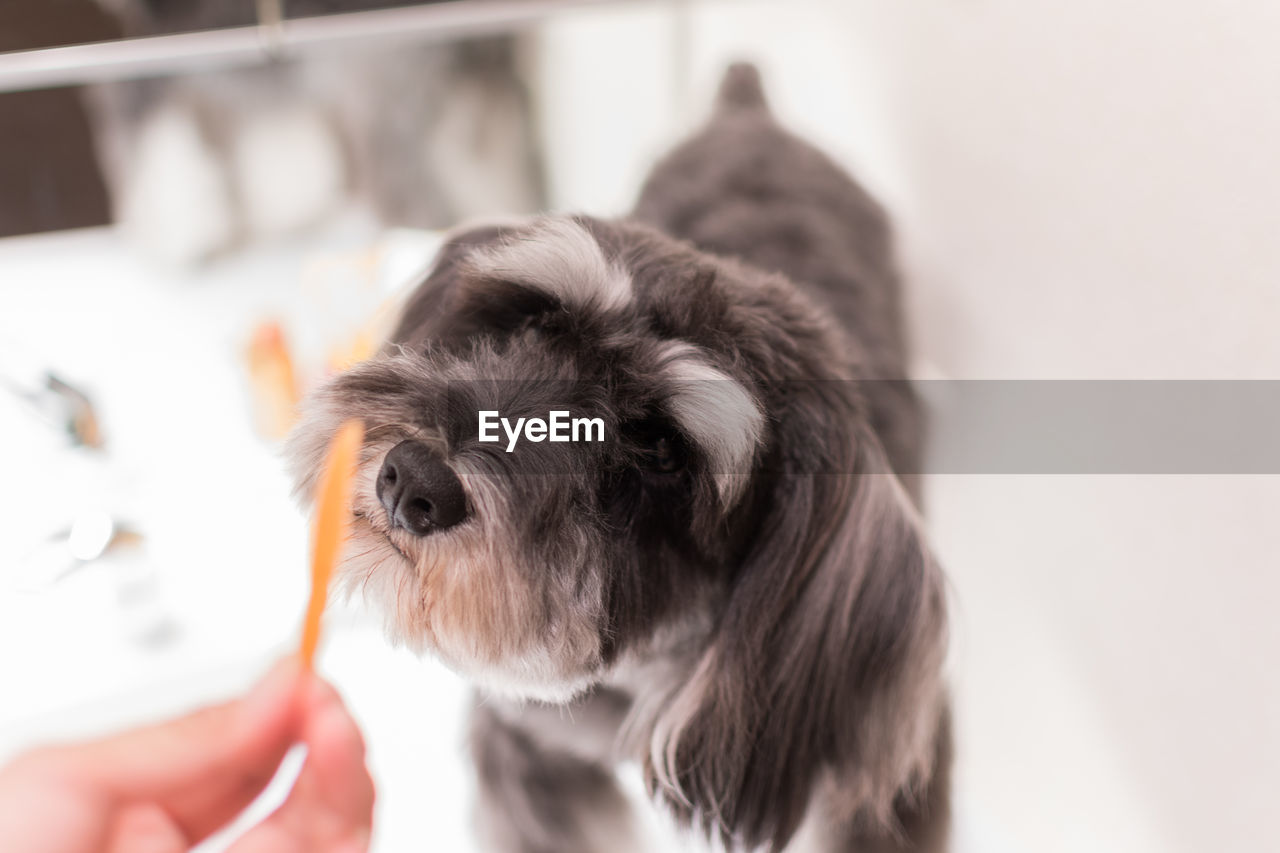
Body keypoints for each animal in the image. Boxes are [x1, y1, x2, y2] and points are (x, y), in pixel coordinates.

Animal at [290, 63, 952, 845]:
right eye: (536, 322)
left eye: (661, 449)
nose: (411, 481)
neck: (642, 669)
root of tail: (749, 111)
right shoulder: (531, 750)